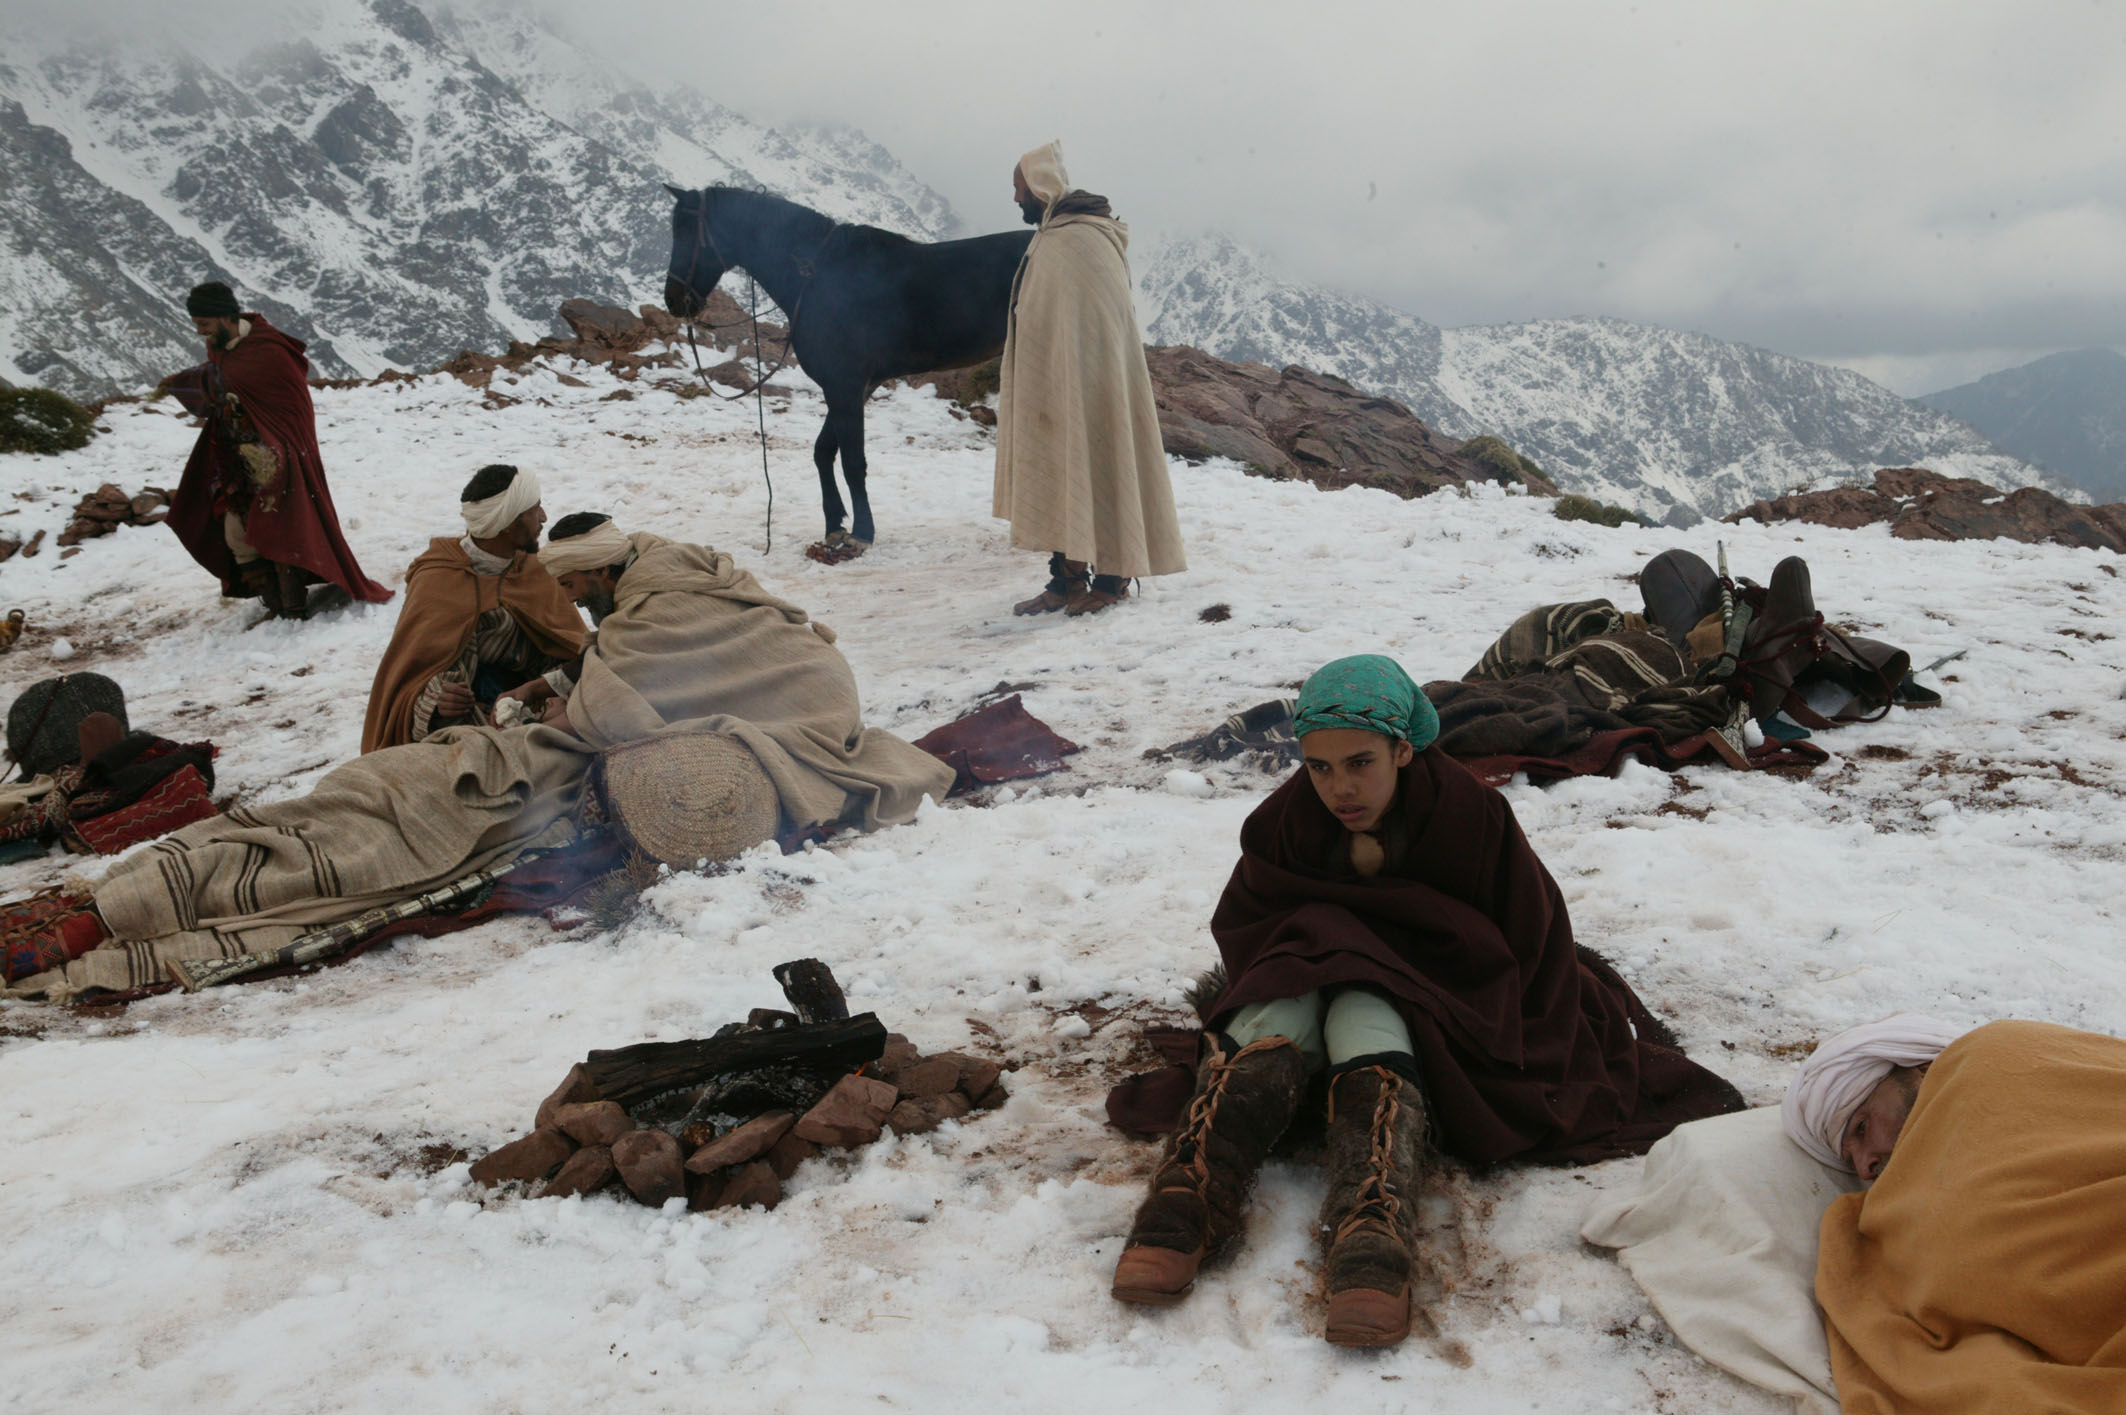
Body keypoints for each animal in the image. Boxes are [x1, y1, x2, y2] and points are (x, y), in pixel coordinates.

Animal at [661, 184, 1034, 555]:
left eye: (685, 231)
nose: (674, 299)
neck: (818, 277)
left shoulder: (845, 384)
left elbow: (853, 462)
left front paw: (862, 532)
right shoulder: (851, 386)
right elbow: (824, 451)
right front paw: (834, 525)